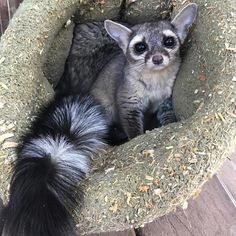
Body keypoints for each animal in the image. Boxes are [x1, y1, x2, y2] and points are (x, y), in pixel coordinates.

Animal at [2, 2, 196, 235]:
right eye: (140, 47)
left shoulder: (166, 97)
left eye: (169, 42)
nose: (158, 58)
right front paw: (137, 137)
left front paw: (167, 125)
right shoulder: (127, 97)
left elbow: (167, 113)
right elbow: (131, 121)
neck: (154, 80)